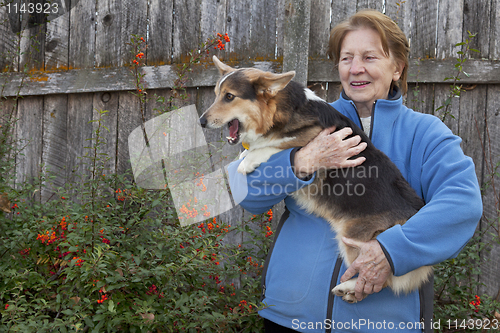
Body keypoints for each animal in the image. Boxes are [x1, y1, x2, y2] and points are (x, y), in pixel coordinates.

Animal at [199, 55, 434, 302]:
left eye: (229, 96)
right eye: (216, 94)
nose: (201, 122)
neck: (282, 110)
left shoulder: (307, 139)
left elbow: (276, 145)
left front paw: (249, 159)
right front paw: (245, 154)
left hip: (357, 241)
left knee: (379, 279)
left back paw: (348, 287)